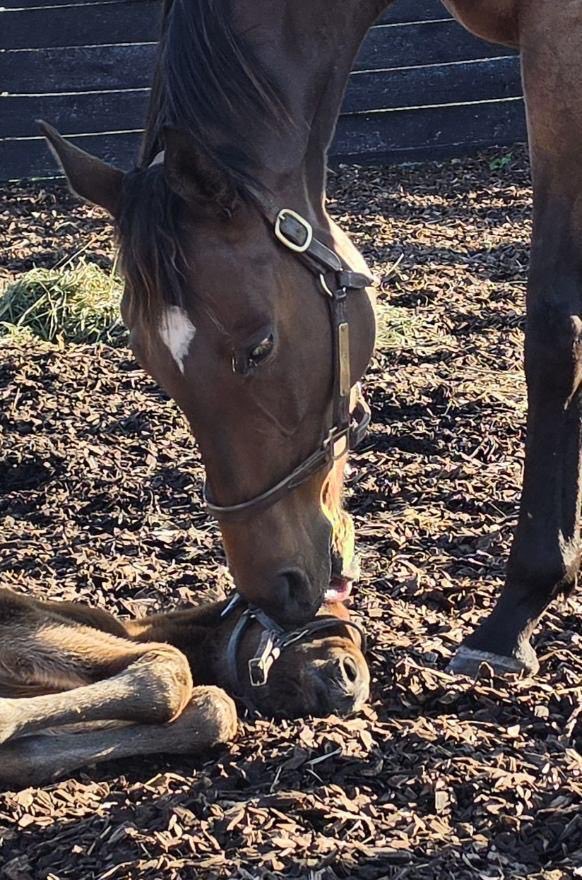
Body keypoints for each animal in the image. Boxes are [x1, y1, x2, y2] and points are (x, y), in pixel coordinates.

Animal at [39, 0, 581, 678]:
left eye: (259, 348)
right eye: (149, 359)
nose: (276, 589)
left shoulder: (559, 45)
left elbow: (555, 330)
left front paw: (516, 614)